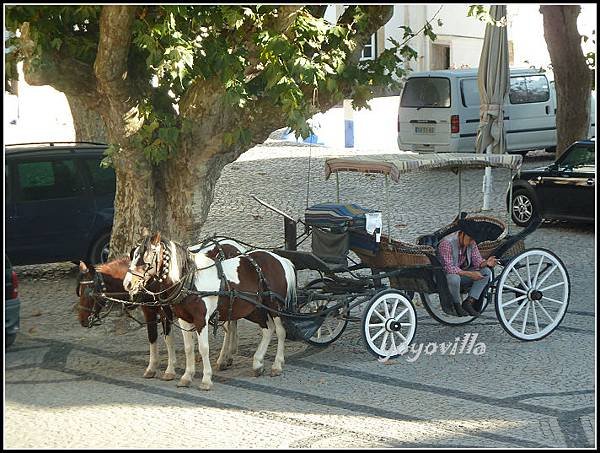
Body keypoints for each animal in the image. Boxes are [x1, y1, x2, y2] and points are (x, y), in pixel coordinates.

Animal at [77, 237, 246, 382]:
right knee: (232, 322)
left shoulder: (167, 311)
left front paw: (170, 370)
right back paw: (229, 354)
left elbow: (168, 338)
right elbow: (152, 337)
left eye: (89, 291)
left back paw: (223, 358)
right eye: (79, 290)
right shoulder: (149, 311)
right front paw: (151, 368)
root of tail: (237, 246)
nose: (82, 320)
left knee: (228, 325)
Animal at [123, 231, 296, 390]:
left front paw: (206, 379)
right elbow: (188, 348)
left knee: (280, 331)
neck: (190, 280)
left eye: (145, 259)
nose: (128, 284)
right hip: (253, 308)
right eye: (133, 256)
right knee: (267, 329)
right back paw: (257, 363)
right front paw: (186, 376)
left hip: (274, 306)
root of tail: (280, 259)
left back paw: (276, 364)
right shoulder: (183, 319)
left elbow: (203, 348)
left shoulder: (200, 320)